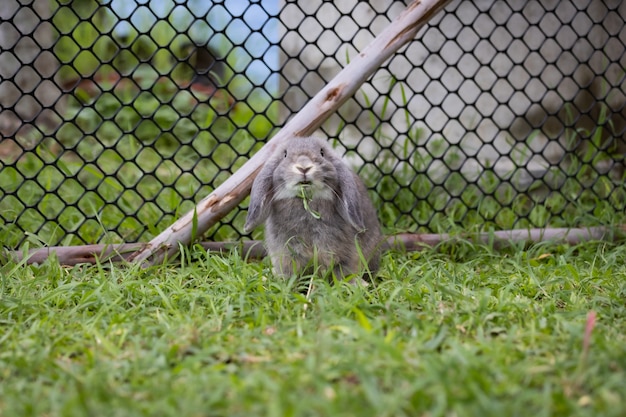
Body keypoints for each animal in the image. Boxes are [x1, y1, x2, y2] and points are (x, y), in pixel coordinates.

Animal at [243, 136, 380, 280]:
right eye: (285, 154)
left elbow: (342, 272)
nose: (304, 167)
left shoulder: (342, 254)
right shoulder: (286, 255)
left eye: (322, 153)